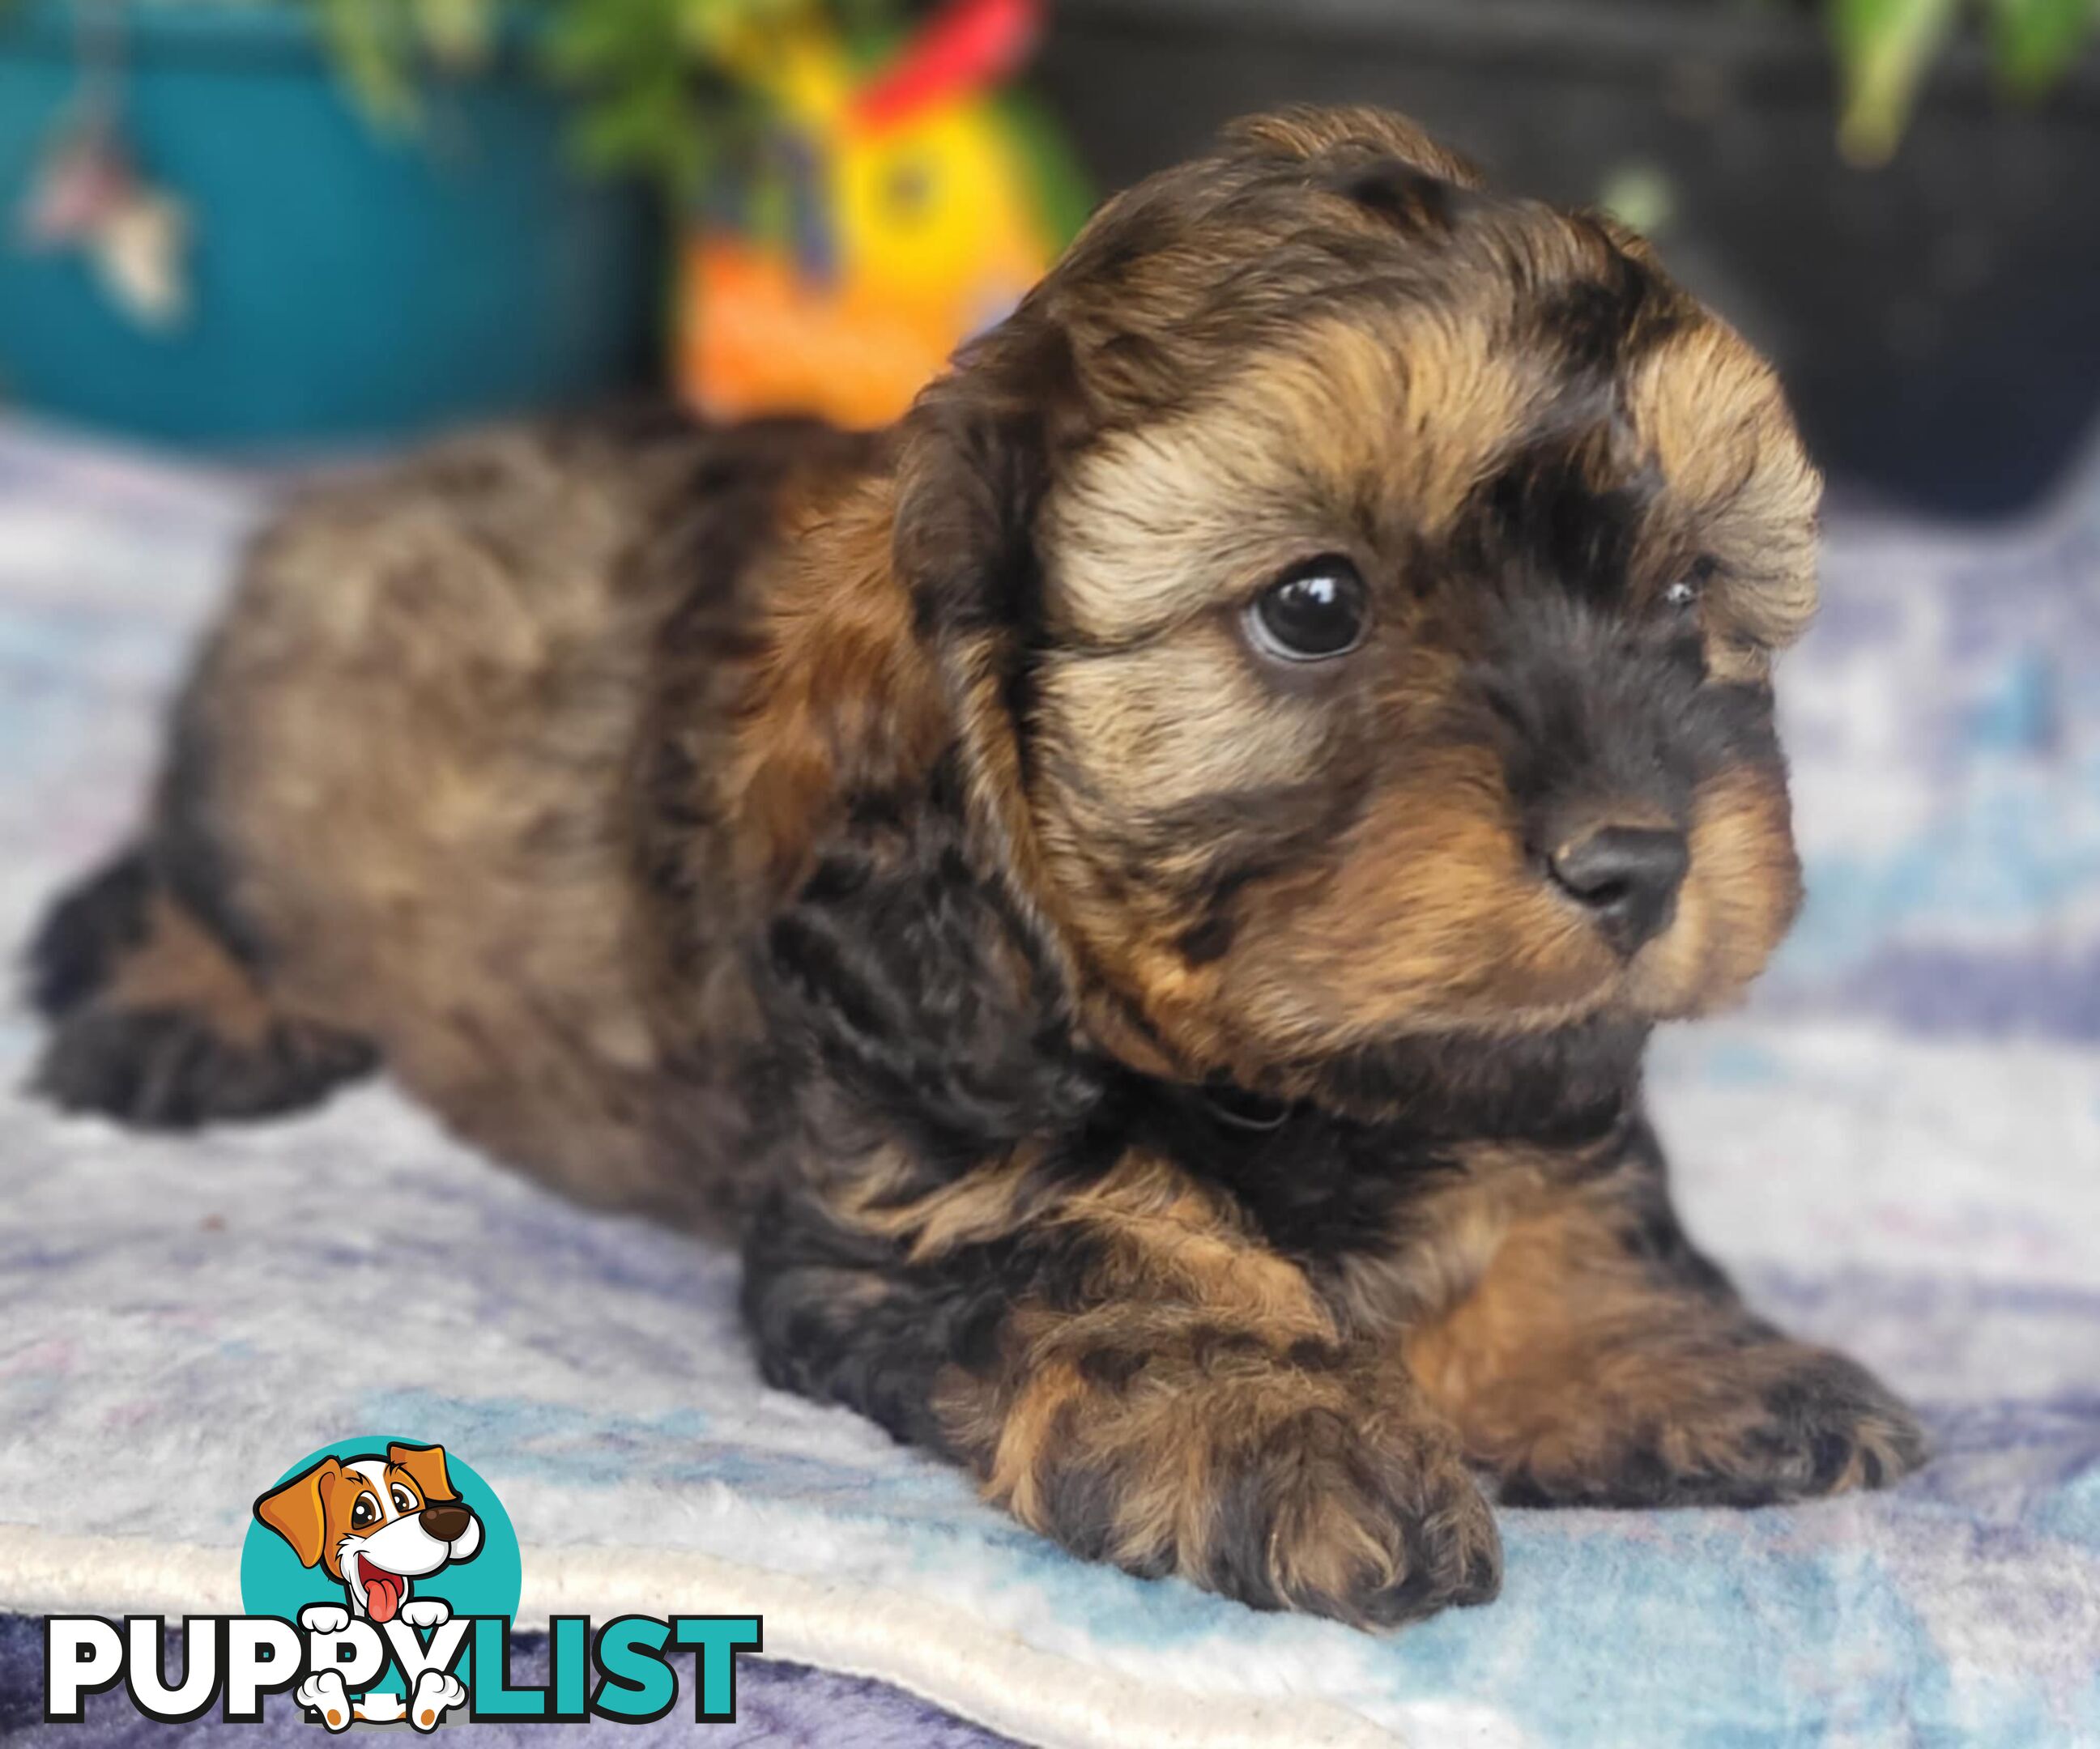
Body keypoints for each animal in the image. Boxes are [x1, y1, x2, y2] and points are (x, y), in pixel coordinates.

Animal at [28, 109, 1923, 1629]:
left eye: (1681, 593)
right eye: (1313, 606)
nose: (1639, 861)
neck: (1286, 1093)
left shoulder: (1509, 1059)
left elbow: (1549, 1190)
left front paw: (1645, 1346)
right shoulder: (912, 1179)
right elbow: (1114, 1254)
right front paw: (1279, 1424)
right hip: (264, 781)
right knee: (166, 870)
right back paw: (189, 1005)